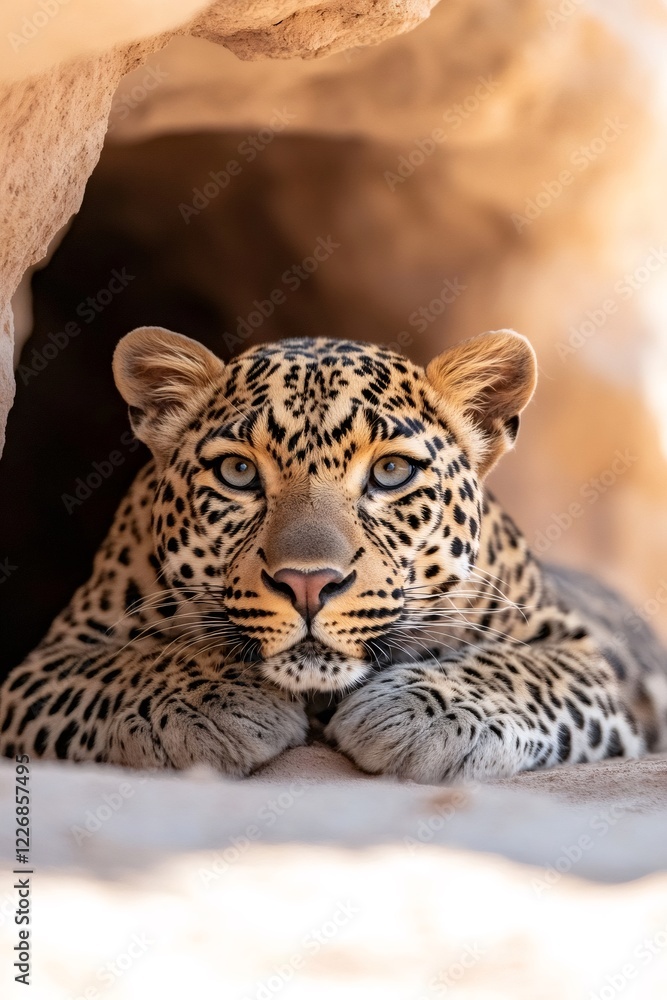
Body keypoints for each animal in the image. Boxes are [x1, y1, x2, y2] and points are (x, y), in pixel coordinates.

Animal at [1, 326, 666, 782]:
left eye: (391, 471)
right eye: (239, 472)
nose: (307, 584)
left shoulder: (585, 655)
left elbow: (516, 668)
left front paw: (419, 715)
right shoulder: (42, 666)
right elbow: (122, 666)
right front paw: (211, 702)